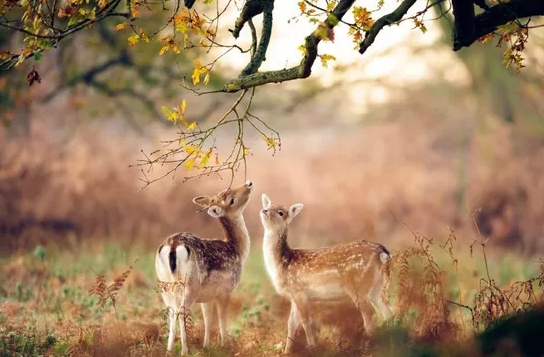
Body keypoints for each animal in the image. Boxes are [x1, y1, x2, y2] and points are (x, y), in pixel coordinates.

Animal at [154, 181, 254, 354]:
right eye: (231, 200)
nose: (248, 183)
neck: (236, 250)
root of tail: (173, 245)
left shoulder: (207, 297)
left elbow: (207, 319)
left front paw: (206, 346)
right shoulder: (225, 290)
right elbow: (221, 318)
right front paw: (224, 345)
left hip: (165, 284)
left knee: (172, 311)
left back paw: (169, 351)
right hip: (191, 284)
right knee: (182, 311)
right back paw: (185, 350)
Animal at [260, 193, 396, 352]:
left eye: (281, 212)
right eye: (268, 205)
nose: (264, 210)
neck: (282, 263)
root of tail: (383, 253)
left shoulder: (299, 291)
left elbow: (306, 321)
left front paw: (311, 348)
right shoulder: (293, 296)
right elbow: (291, 324)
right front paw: (287, 351)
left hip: (358, 286)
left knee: (370, 314)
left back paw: (366, 347)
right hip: (377, 287)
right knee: (388, 312)